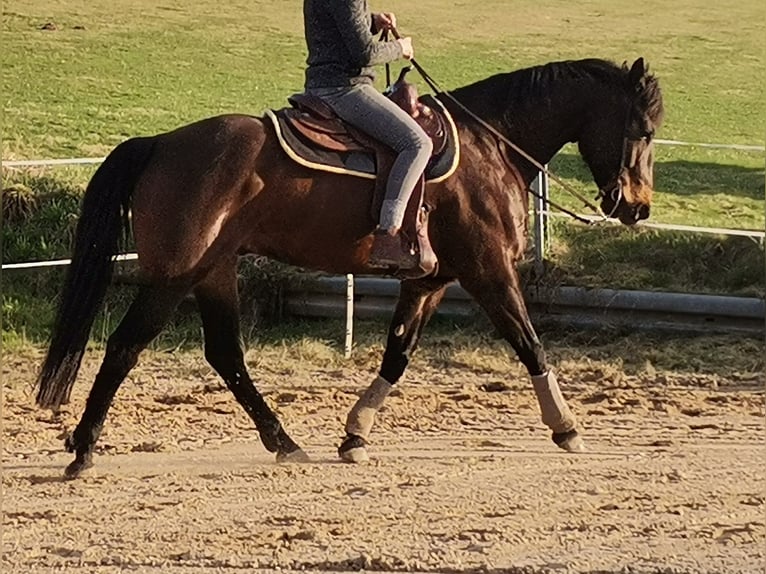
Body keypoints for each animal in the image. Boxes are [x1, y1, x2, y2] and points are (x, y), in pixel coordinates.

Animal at [33, 56, 664, 480]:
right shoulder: (489, 273)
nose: (636, 207)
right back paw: (84, 449)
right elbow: (530, 344)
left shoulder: (429, 281)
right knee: (125, 347)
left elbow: (398, 355)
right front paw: (567, 428)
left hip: (213, 271)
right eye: (644, 130)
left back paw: (283, 441)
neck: (491, 147)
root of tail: (162, 142)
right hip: (175, 276)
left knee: (226, 355)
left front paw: (355, 434)